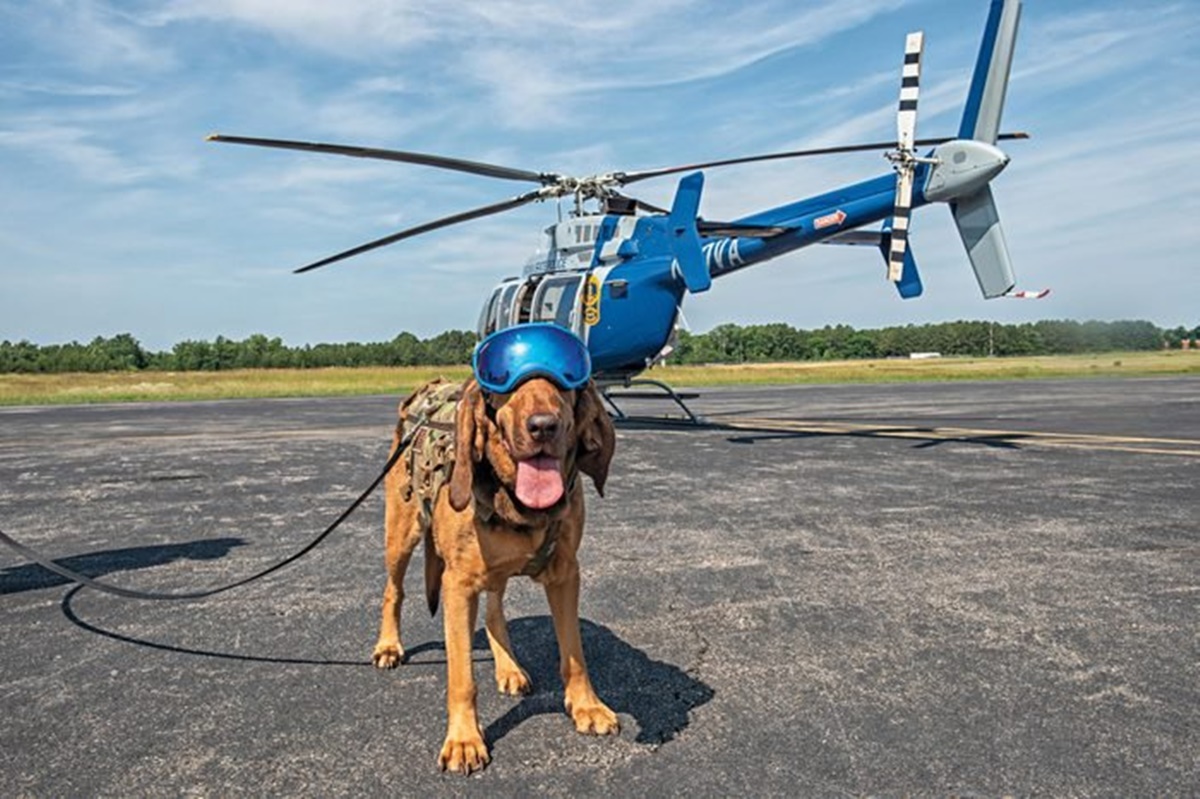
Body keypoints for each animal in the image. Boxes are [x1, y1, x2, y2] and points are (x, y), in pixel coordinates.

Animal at [372, 374, 619, 772]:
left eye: (564, 381)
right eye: (506, 384)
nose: (543, 426)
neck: (519, 505)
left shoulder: (566, 574)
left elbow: (574, 654)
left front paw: (587, 706)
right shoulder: (458, 585)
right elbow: (462, 677)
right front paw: (464, 740)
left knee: (493, 613)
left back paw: (508, 668)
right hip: (401, 533)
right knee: (393, 591)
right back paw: (388, 647)